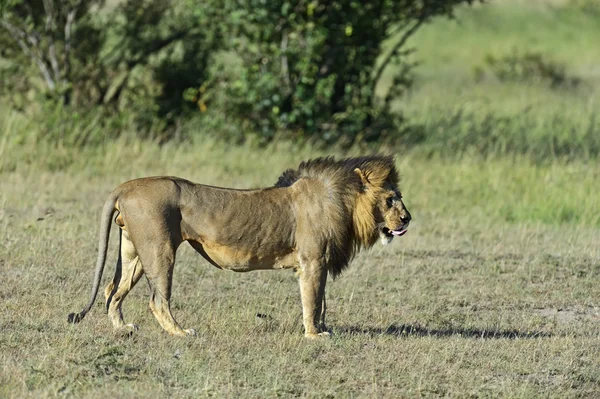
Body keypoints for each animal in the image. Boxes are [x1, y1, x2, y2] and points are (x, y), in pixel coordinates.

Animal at [67, 155, 412, 340]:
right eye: (390, 199)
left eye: (399, 197)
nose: (408, 218)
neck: (343, 202)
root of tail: (126, 186)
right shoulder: (312, 261)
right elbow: (313, 301)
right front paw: (315, 335)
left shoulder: (321, 263)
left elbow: (322, 301)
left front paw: (324, 329)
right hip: (159, 248)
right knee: (157, 300)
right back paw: (181, 333)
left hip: (133, 252)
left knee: (113, 290)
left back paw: (122, 329)